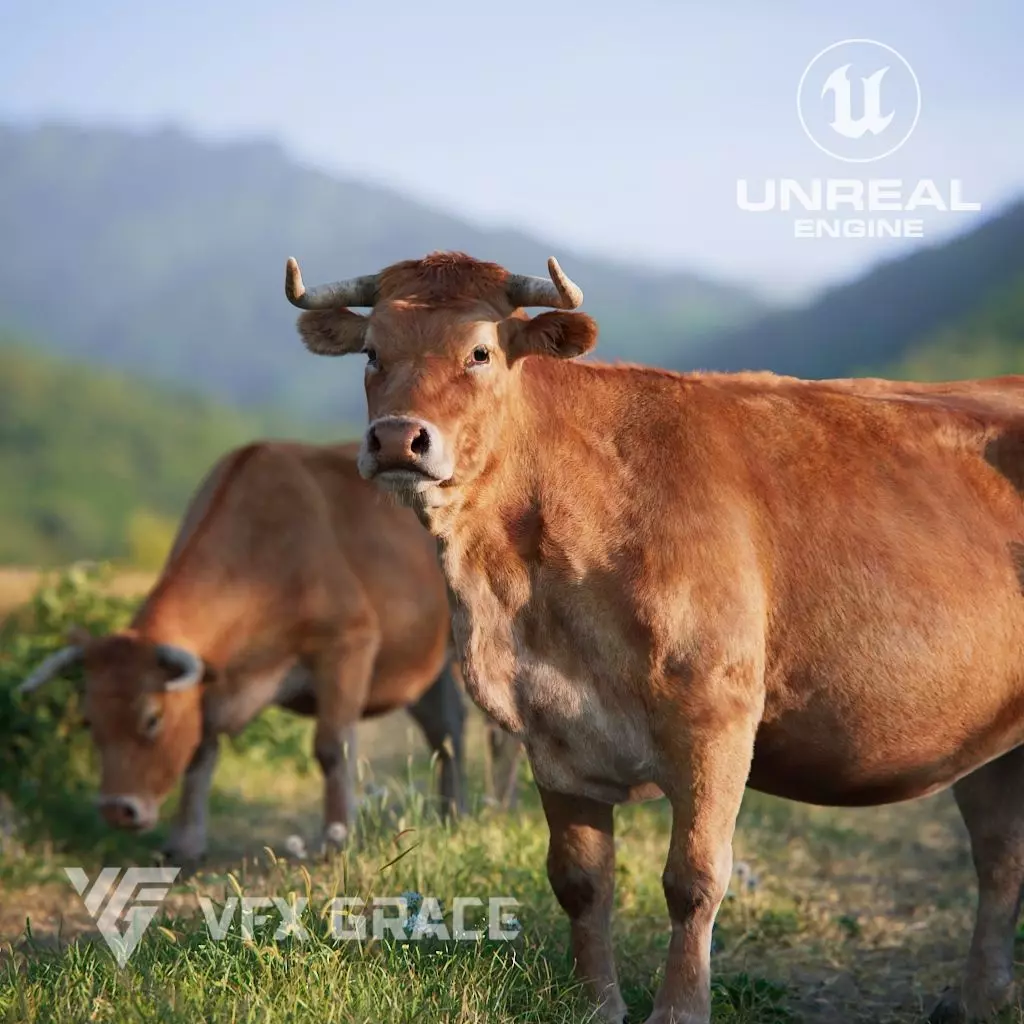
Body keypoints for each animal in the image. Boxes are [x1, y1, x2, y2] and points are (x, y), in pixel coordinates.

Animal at [19, 441, 468, 864]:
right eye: (89, 720)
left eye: (152, 718)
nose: (116, 810)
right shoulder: (206, 687)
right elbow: (199, 754)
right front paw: (185, 843)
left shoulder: (347, 643)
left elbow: (332, 748)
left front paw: (337, 839)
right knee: (447, 729)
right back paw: (452, 815)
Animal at [283, 249, 1024, 1024]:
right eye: (373, 352)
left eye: (479, 352)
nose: (398, 438)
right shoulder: (551, 726)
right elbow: (579, 880)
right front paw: (596, 1004)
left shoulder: (716, 715)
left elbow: (693, 878)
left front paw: (679, 1009)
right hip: (991, 739)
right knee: (1000, 854)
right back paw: (975, 999)